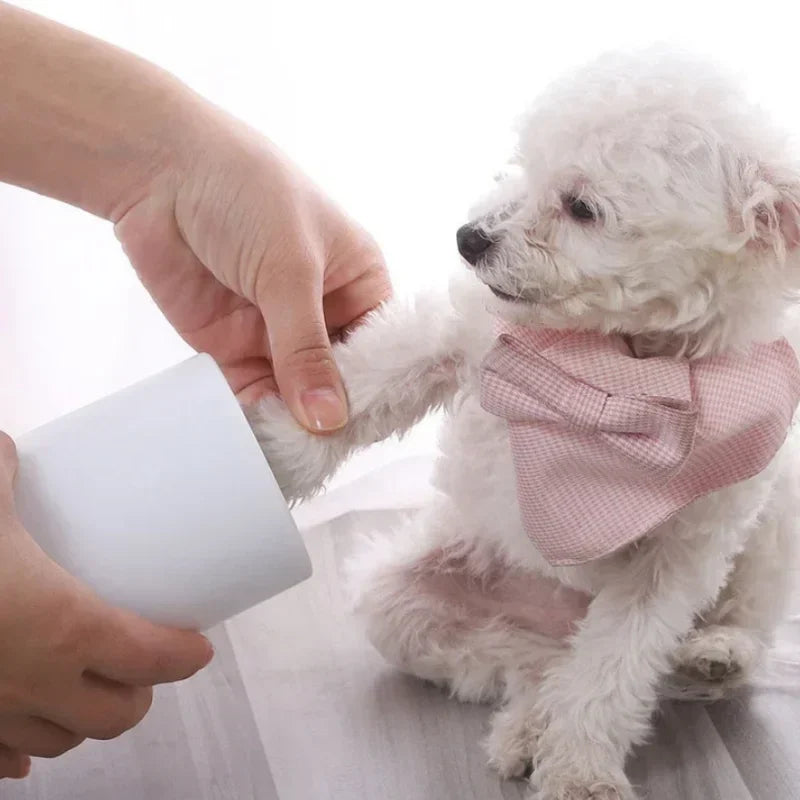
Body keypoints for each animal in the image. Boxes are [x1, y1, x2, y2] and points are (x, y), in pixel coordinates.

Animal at [248, 51, 800, 800]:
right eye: (523, 165)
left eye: (582, 208)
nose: (469, 238)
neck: (619, 370)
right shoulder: (462, 332)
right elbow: (369, 381)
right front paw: (270, 457)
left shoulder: (680, 553)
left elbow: (613, 665)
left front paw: (580, 770)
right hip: (404, 603)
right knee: (528, 660)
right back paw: (527, 722)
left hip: (775, 528)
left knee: (684, 630)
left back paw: (715, 652)